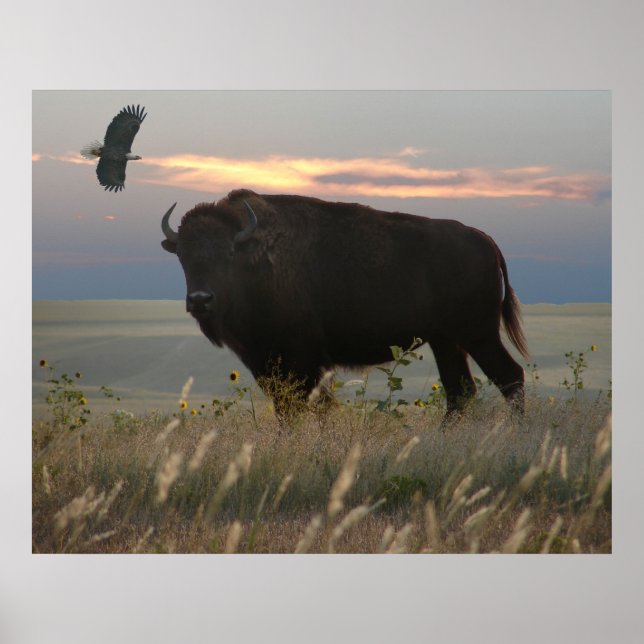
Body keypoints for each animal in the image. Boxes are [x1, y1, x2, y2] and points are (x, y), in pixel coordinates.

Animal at [161, 189, 529, 420]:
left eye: (228, 254)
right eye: (183, 256)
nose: (200, 300)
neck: (256, 256)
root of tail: (487, 242)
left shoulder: (302, 358)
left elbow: (298, 406)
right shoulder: (266, 361)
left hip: (478, 335)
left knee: (509, 377)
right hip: (446, 341)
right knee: (461, 390)